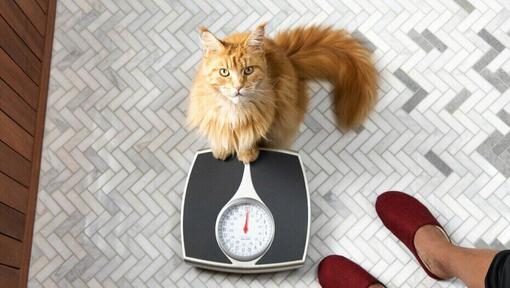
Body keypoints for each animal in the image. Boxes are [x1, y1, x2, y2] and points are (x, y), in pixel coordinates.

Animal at [187, 23, 378, 163]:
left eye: (248, 70)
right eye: (224, 72)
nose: (238, 87)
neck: (235, 111)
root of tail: (288, 57)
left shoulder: (270, 117)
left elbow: (251, 139)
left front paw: (248, 154)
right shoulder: (213, 119)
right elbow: (220, 135)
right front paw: (221, 149)